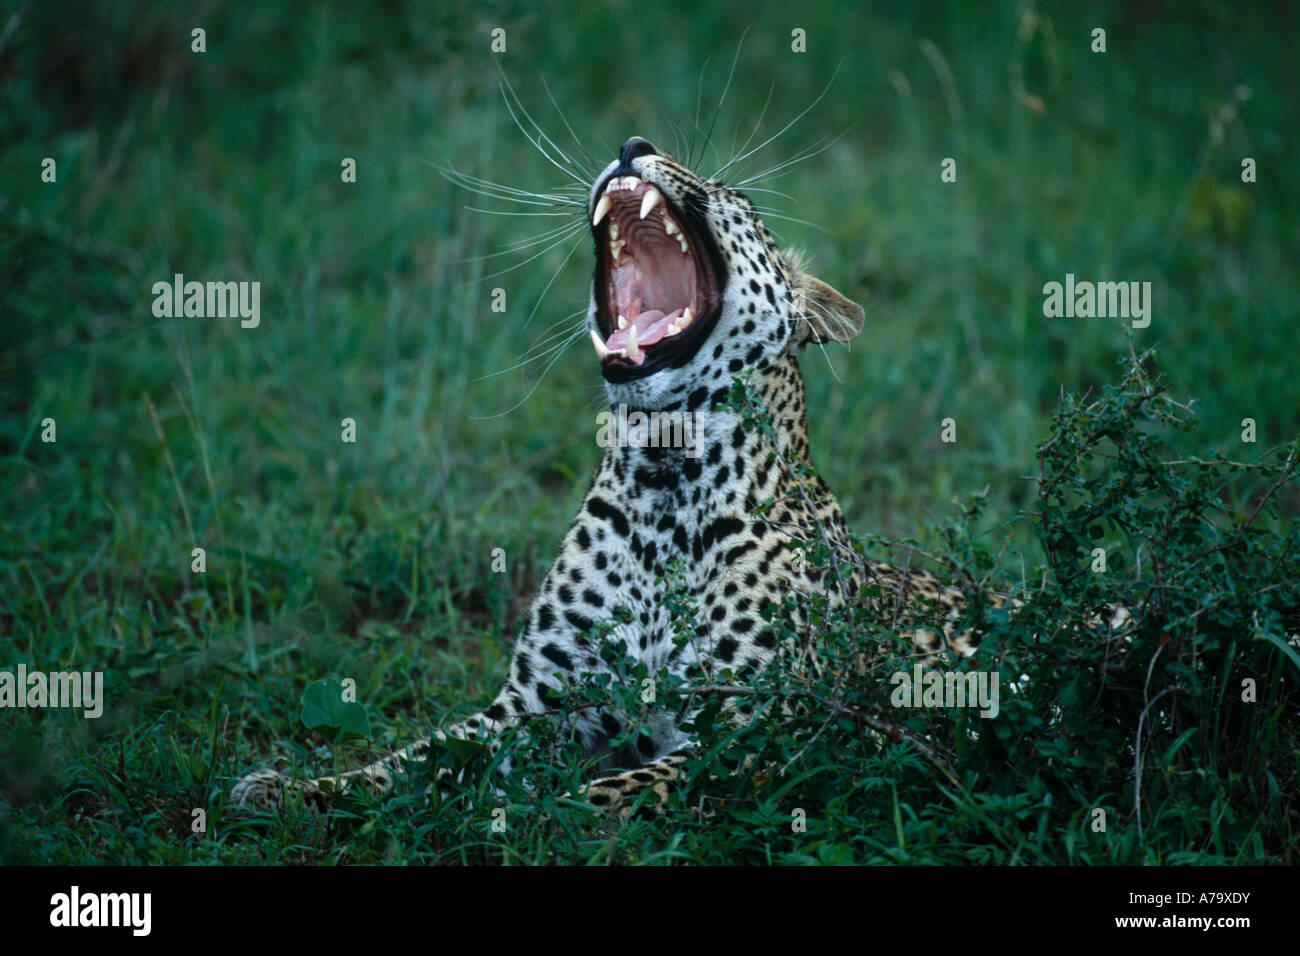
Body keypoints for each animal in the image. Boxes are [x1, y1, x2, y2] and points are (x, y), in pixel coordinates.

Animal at [231, 135, 1018, 813]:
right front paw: (290, 790)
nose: (634, 145)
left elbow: (612, 791)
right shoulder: (538, 704)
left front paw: (522, 818)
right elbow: (417, 758)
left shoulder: (761, 723)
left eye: (733, 194)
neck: (662, 479)